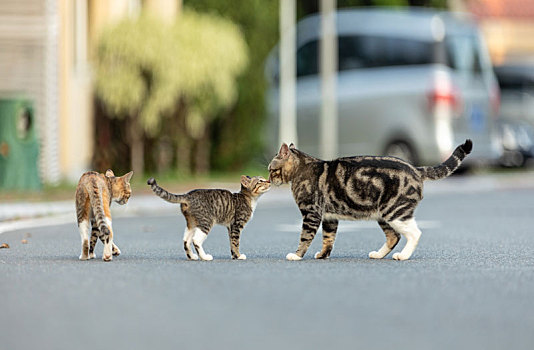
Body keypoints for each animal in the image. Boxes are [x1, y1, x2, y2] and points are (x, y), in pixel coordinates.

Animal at [270, 141, 476, 262]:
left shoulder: (311, 213)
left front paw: (296, 255)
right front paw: (323, 255)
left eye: (272, 170)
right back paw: (378, 254)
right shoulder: (329, 217)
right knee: (394, 236)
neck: (302, 167)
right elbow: (328, 239)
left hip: (394, 212)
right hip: (383, 215)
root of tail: (416, 169)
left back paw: (403, 256)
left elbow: (305, 237)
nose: (270, 180)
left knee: (414, 233)